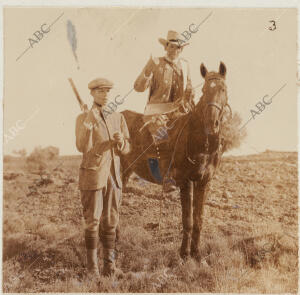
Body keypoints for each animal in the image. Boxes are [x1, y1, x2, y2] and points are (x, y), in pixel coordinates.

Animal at [119, 61, 230, 260]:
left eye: (223, 89)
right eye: (204, 90)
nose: (211, 124)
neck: (200, 142)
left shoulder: (204, 182)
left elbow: (199, 219)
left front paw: (197, 253)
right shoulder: (185, 182)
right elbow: (187, 220)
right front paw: (184, 253)